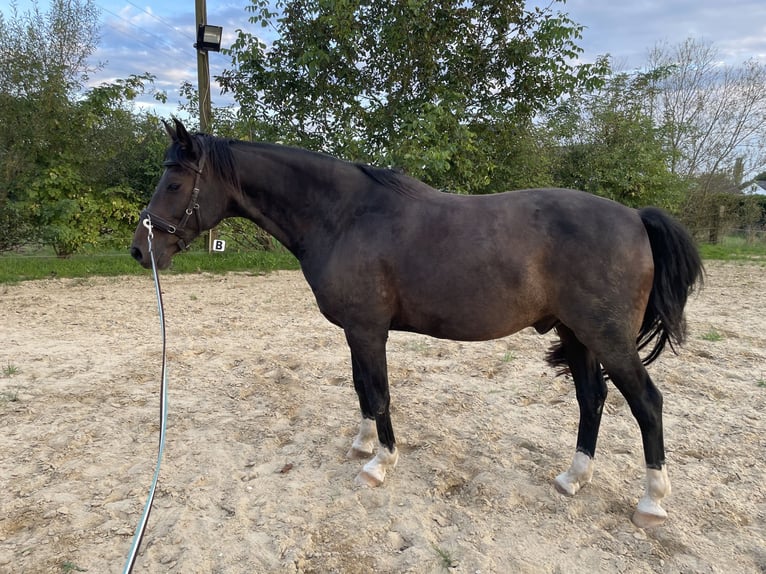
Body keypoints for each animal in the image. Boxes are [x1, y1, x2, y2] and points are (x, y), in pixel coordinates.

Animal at [130, 119, 704, 528]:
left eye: (175, 181)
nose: (141, 250)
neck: (346, 216)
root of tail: (636, 217)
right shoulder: (356, 332)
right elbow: (362, 388)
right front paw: (362, 445)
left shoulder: (368, 329)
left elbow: (380, 393)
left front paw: (379, 463)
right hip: (577, 335)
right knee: (593, 398)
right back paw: (573, 478)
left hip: (606, 337)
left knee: (647, 403)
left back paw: (651, 503)